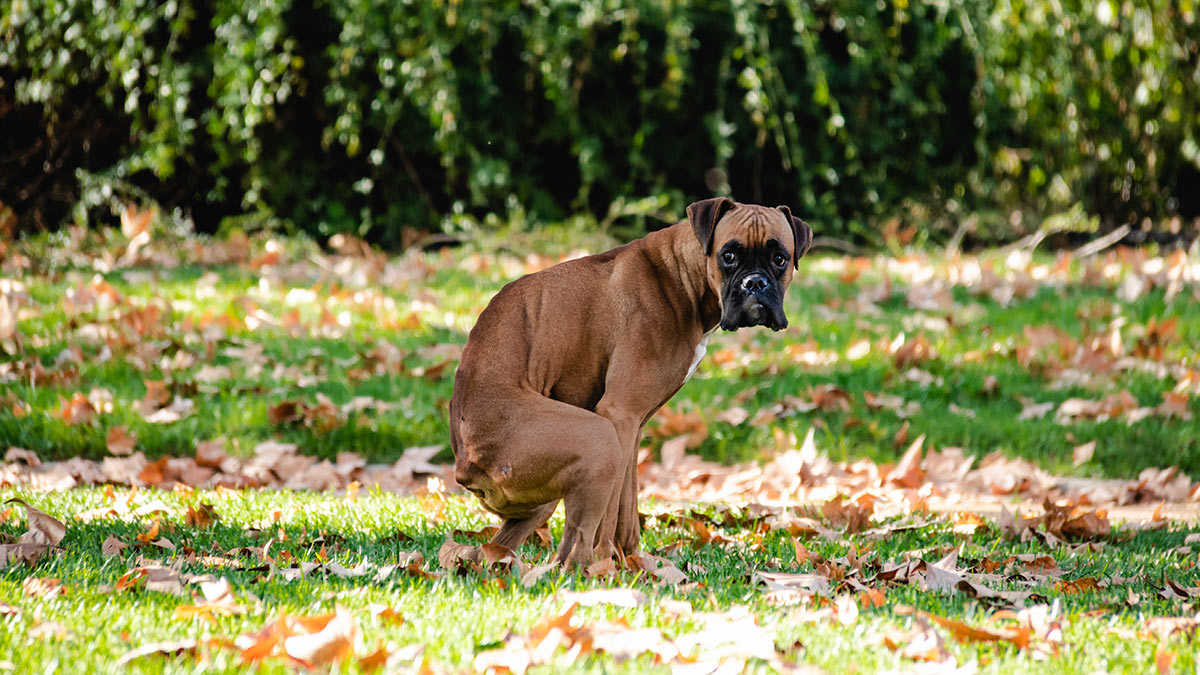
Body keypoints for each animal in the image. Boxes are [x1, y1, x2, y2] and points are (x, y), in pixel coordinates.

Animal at [451, 196, 816, 564]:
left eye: (780, 258)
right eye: (728, 256)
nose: (755, 283)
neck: (682, 276)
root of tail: (465, 464)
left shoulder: (633, 428)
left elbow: (627, 507)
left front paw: (635, 563)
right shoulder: (618, 416)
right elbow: (611, 513)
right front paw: (608, 564)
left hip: (544, 498)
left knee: (499, 549)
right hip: (598, 439)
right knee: (573, 550)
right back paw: (590, 569)